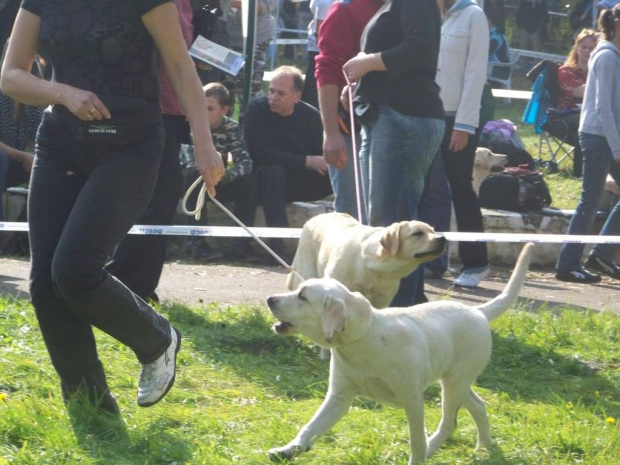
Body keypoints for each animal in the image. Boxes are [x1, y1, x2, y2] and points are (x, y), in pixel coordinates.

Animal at [286, 213, 446, 308]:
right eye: (417, 233)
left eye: (433, 231)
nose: (443, 238)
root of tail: (316, 216)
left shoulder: (382, 301)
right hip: (307, 274)